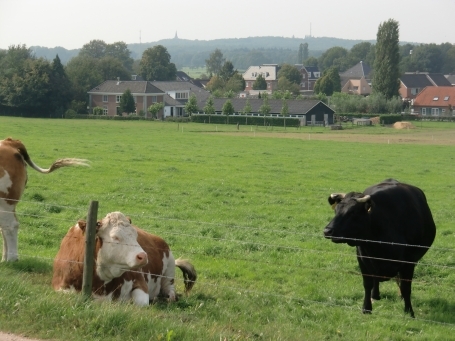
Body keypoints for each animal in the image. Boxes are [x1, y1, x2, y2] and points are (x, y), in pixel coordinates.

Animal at [52, 211, 198, 304]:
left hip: (169, 272)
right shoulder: (60, 286)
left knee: (170, 291)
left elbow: (140, 302)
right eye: (115, 237)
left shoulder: (140, 282)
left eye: (135, 235)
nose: (143, 256)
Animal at [322, 178, 436, 316]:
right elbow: (367, 283)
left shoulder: (409, 261)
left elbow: (406, 287)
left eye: (353, 212)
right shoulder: (362, 257)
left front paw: (409, 312)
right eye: (336, 210)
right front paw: (366, 308)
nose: (327, 231)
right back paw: (375, 295)